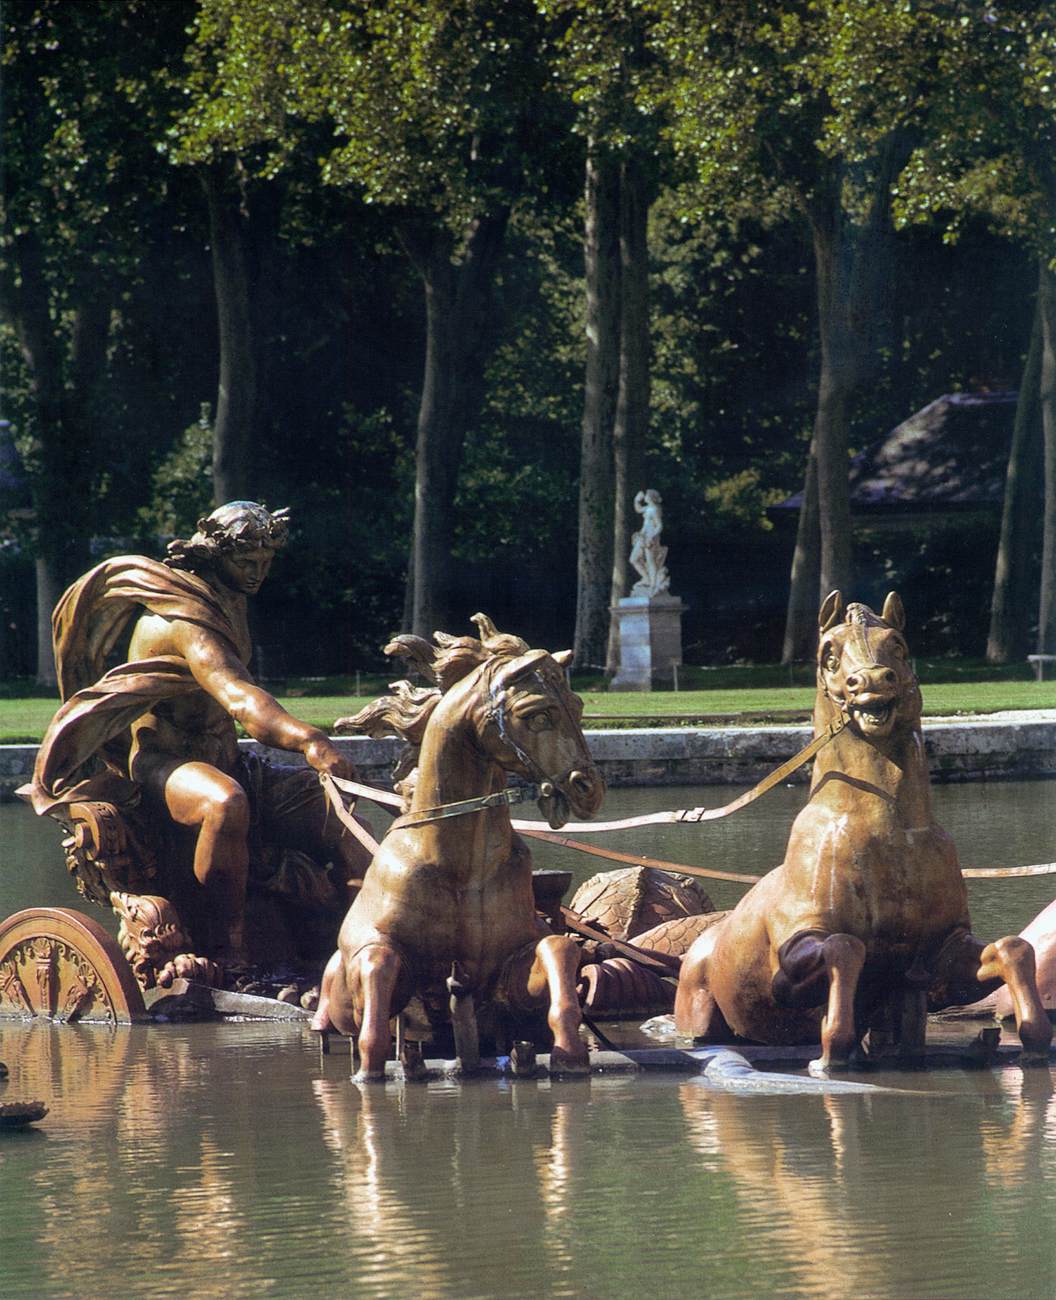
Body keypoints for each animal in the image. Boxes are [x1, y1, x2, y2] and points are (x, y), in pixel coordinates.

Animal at [313, 613, 606, 1081]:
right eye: (537, 714)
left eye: (577, 707)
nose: (588, 790)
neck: (462, 869)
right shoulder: (376, 965)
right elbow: (379, 976)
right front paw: (372, 1069)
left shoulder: (503, 975)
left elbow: (558, 950)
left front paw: (570, 1052)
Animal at [676, 595, 1045, 1071]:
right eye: (829, 654)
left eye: (898, 644)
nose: (870, 680)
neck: (890, 834)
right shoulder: (792, 960)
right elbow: (846, 948)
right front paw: (831, 1054)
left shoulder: (937, 957)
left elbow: (1013, 949)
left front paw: (1036, 1039)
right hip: (698, 1013)